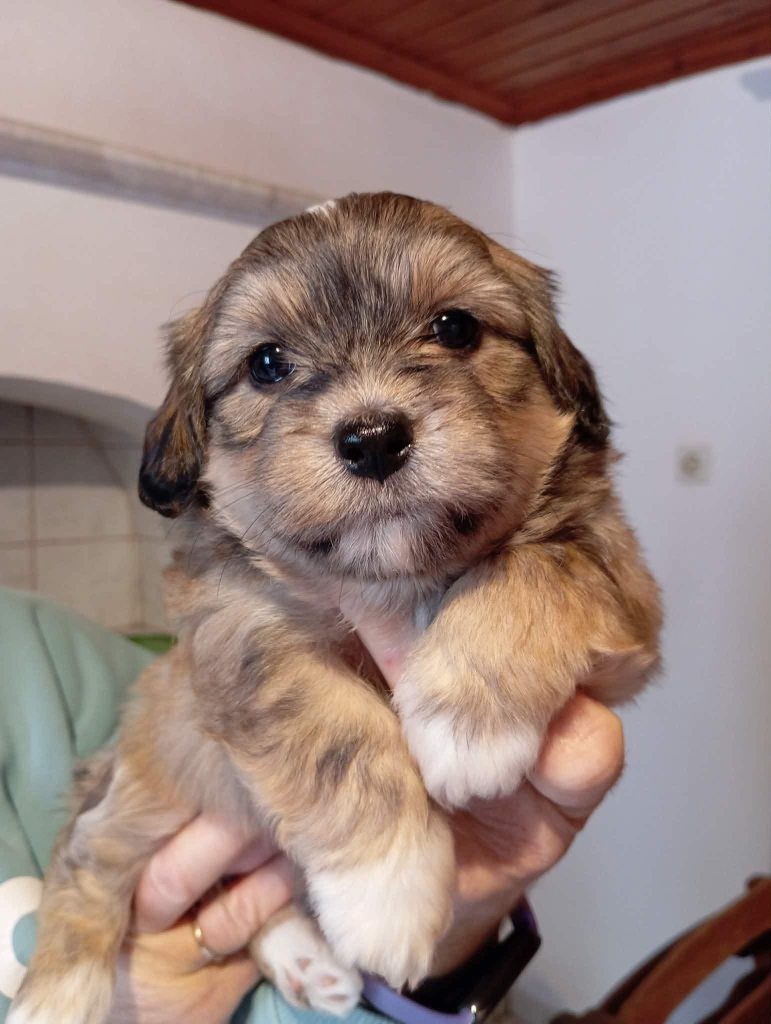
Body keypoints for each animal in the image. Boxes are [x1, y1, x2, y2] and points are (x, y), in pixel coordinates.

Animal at [10, 193, 661, 1024]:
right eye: (266, 363)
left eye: (454, 327)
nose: (374, 437)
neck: (393, 574)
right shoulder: (241, 636)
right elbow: (337, 734)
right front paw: (387, 891)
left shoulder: (621, 593)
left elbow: (534, 566)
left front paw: (465, 725)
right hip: (139, 790)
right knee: (86, 869)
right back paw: (56, 997)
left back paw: (308, 963)